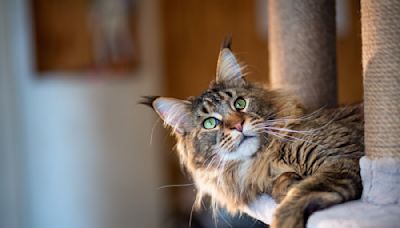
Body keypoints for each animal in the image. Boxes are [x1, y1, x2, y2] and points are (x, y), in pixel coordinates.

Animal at [140, 38, 362, 227]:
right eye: (210, 123)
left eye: (240, 103)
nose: (238, 125)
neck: (264, 160)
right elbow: (284, 188)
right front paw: (286, 182)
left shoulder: (340, 160)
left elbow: (295, 199)